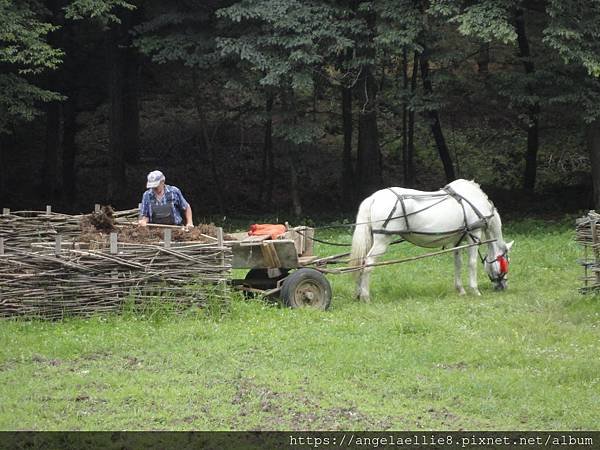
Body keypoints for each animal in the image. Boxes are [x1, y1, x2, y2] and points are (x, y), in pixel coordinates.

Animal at [350, 178, 512, 300]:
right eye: (507, 261)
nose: (503, 286)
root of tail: (374, 198)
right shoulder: (475, 234)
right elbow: (471, 263)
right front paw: (475, 290)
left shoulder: (457, 240)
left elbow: (458, 263)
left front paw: (460, 289)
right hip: (382, 240)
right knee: (368, 263)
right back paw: (365, 296)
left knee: (361, 263)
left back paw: (359, 293)